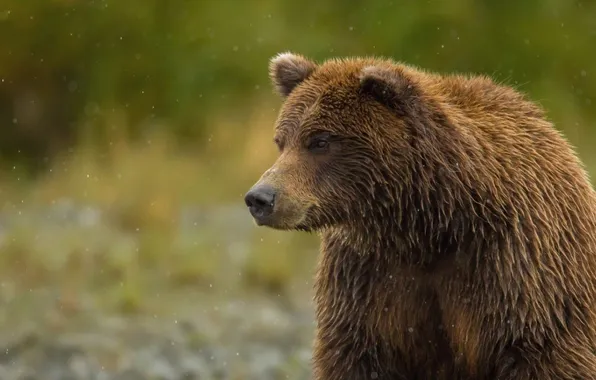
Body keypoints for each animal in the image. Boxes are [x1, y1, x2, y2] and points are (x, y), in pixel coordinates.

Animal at [244, 53, 596, 380]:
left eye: (319, 141)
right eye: (281, 141)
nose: (260, 198)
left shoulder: (516, 264)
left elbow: (542, 351)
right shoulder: (366, 276)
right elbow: (356, 352)